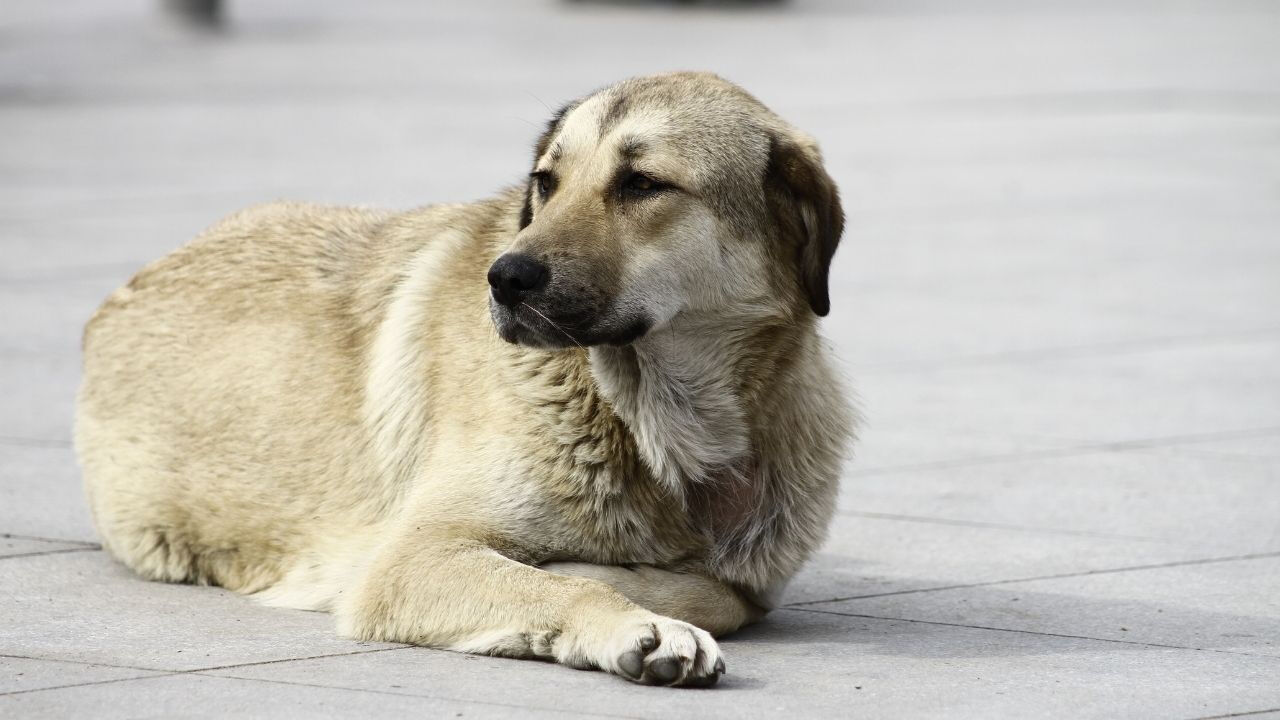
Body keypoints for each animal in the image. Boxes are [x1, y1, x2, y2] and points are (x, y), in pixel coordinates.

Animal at [74, 71, 855, 681]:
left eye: (642, 184)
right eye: (547, 182)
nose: (506, 278)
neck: (655, 421)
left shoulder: (752, 576)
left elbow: (723, 593)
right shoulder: (413, 557)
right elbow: (580, 591)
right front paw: (630, 612)